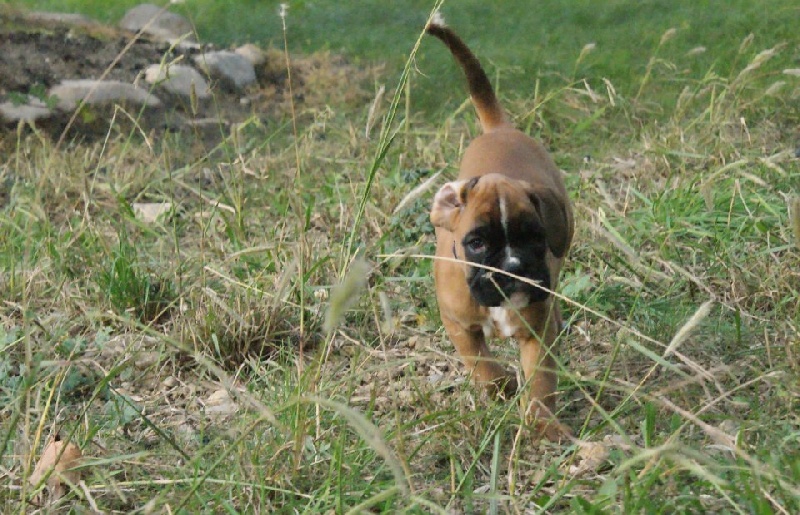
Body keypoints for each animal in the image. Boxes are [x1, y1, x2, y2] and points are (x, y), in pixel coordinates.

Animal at [426, 21, 574, 441]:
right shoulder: (457, 324)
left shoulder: (537, 334)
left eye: (535, 238)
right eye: (476, 243)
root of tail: (499, 128)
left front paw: (542, 424)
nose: (514, 269)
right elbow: (482, 365)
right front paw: (503, 386)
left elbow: (540, 380)